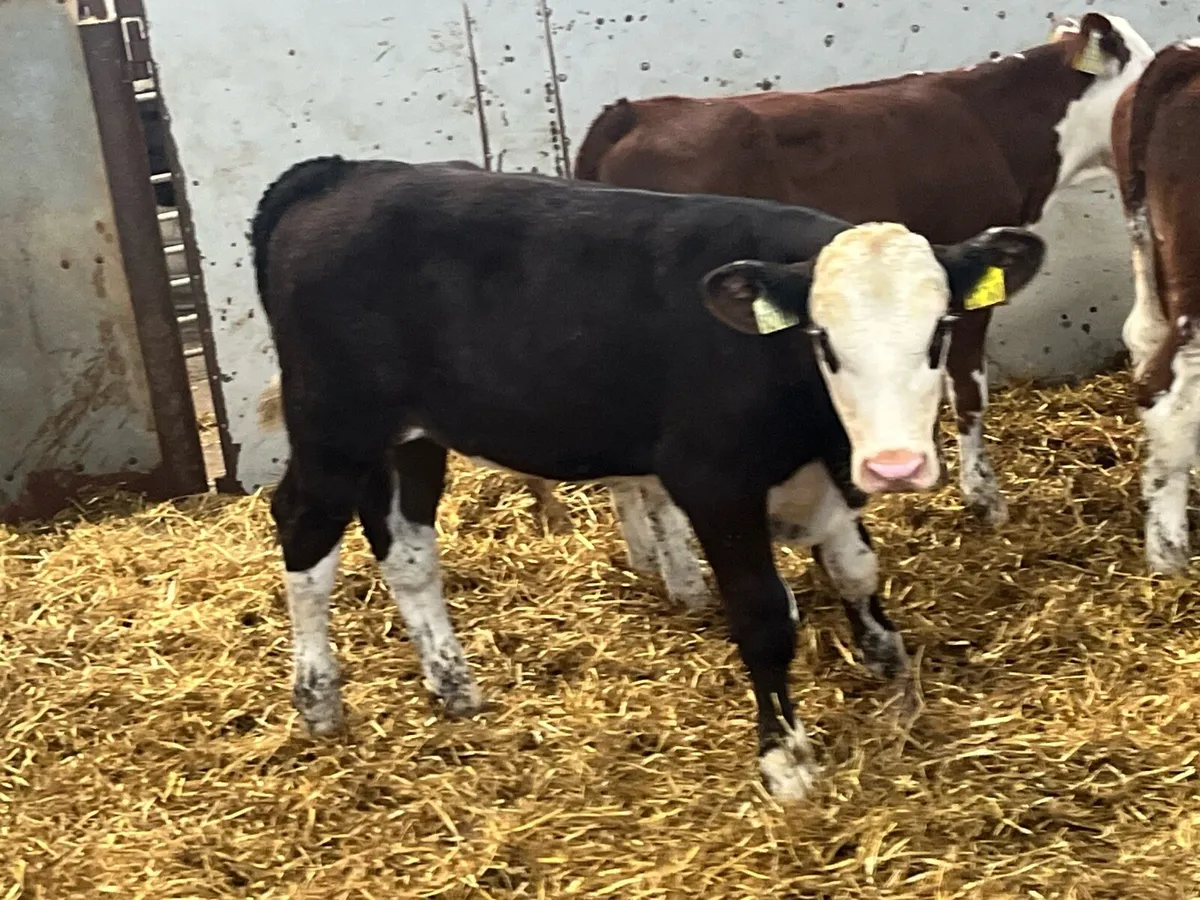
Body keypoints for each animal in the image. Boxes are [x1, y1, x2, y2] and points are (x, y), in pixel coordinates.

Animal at [250, 155, 1046, 800]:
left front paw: (886, 656)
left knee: (407, 548)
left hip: (414, 438)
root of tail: (343, 173)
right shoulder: (714, 483)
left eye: (939, 330)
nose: (895, 467)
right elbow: (763, 617)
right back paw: (317, 699)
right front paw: (785, 763)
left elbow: (855, 569)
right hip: (332, 425)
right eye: (823, 340)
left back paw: (453, 683)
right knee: (304, 528)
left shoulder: (828, 477)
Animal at [560, 11, 1152, 607]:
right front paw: (984, 498)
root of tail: (635, 111)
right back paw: (686, 582)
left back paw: (646, 560)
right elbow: (968, 392)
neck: (996, 124)